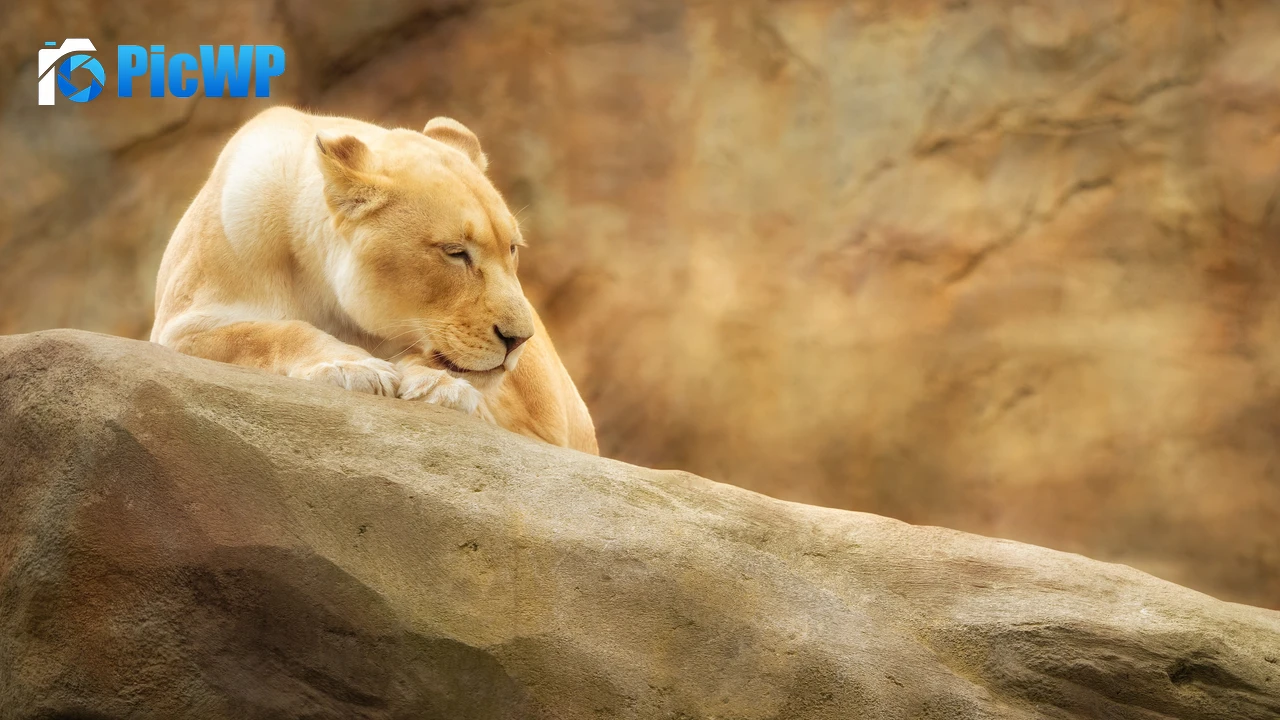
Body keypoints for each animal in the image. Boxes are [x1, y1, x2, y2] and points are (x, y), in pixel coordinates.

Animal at [150, 107, 597, 454]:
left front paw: (436, 385)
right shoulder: (181, 324)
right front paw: (353, 366)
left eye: (513, 249)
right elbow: (265, 333)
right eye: (455, 252)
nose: (519, 339)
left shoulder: (548, 422)